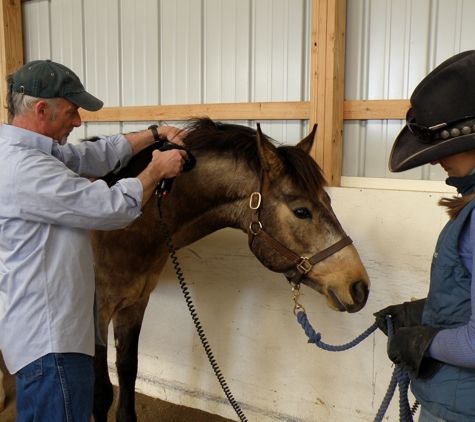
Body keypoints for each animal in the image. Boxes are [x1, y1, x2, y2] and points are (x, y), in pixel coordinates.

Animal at [90, 117, 372, 420]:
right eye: (301, 211)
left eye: (329, 201)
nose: (359, 287)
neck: (123, 224)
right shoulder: (96, 315)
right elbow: (100, 392)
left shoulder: (134, 304)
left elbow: (127, 371)